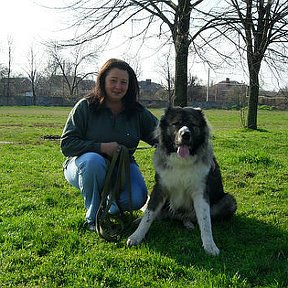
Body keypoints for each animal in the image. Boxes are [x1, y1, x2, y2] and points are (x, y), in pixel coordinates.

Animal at [127, 107, 236, 255]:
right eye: (176, 123)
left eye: (192, 124)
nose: (185, 135)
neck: (182, 162)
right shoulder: (159, 189)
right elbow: (149, 215)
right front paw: (136, 236)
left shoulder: (200, 193)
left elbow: (205, 221)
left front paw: (210, 245)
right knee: (158, 214)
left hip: (229, 201)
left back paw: (188, 223)